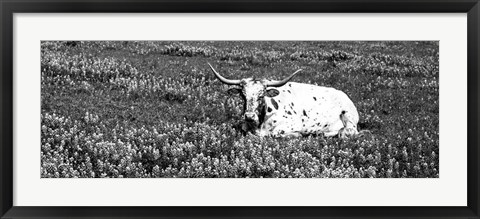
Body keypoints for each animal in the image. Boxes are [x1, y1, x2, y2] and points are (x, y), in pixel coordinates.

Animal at [208, 62, 358, 138]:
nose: (249, 116)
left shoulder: (293, 125)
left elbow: (275, 134)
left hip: (348, 116)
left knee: (349, 131)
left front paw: (297, 135)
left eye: (261, 95)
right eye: (243, 95)